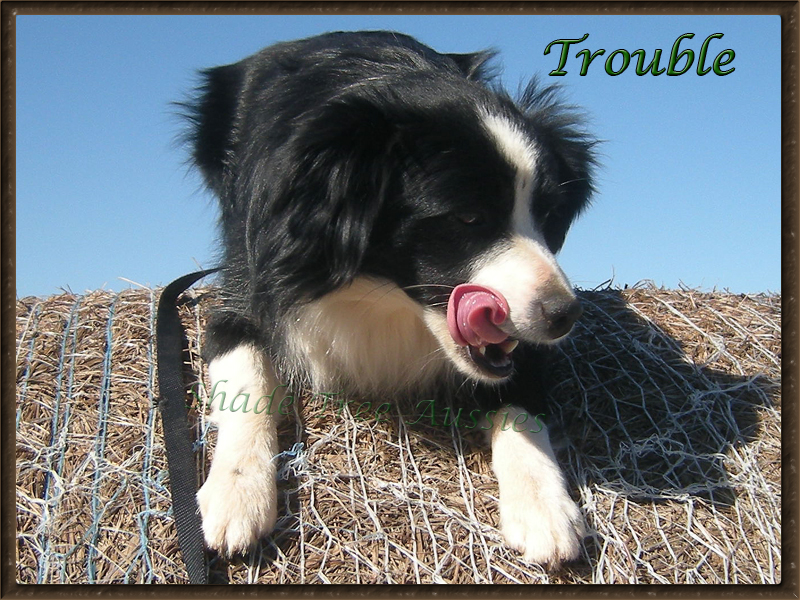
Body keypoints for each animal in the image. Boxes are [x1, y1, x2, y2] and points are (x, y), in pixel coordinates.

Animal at [188, 31, 596, 568]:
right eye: (468, 217)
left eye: (548, 215)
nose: (564, 316)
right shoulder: (247, 278)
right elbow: (246, 376)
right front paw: (237, 497)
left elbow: (521, 399)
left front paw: (546, 507)